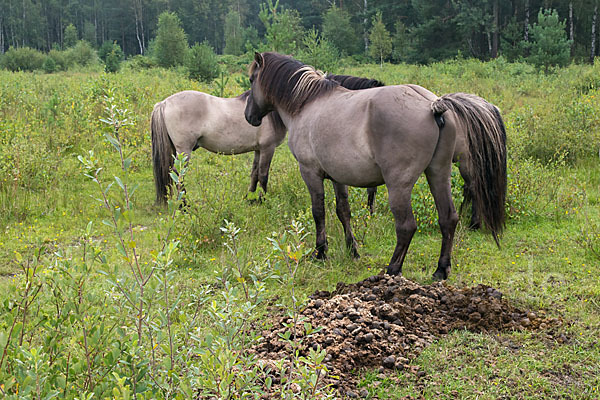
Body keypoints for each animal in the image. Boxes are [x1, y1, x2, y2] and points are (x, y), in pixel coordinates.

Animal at [244, 51, 506, 280]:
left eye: (251, 79)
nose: (249, 117)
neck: (306, 105)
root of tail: (434, 105)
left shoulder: (310, 173)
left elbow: (319, 212)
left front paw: (321, 252)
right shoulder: (338, 177)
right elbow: (343, 211)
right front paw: (352, 250)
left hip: (399, 185)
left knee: (406, 226)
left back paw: (393, 269)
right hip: (438, 174)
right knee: (448, 218)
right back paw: (441, 270)